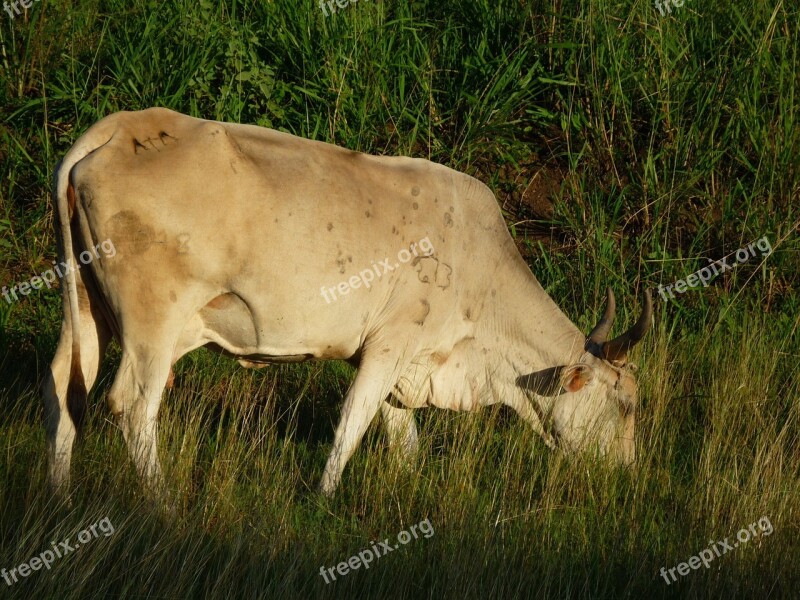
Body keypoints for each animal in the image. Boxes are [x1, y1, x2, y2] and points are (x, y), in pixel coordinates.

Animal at [43, 108, 648, 496]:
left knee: (65, 386)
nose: (628, 474)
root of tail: (123, 125)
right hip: (153, 321)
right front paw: (324, 500)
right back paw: (163, 505)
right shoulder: (390, 343)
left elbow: (402, 439)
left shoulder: (404, 363)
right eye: (626, 404)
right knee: (132, 406)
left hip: (86, 306)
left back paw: (59, 492)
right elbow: (351, 424)